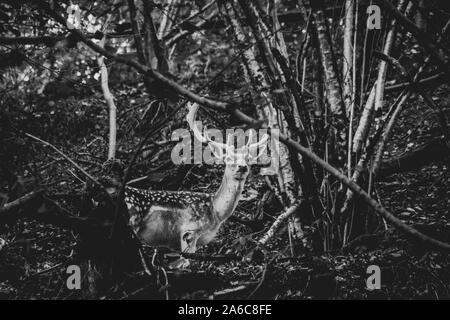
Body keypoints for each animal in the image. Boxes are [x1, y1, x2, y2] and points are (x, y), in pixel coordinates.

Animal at [124, 103, 268, 268]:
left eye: (249, 159)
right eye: (228, 158)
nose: (242, 167)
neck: (215, 212)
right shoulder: (189, 232)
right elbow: (186, 263)